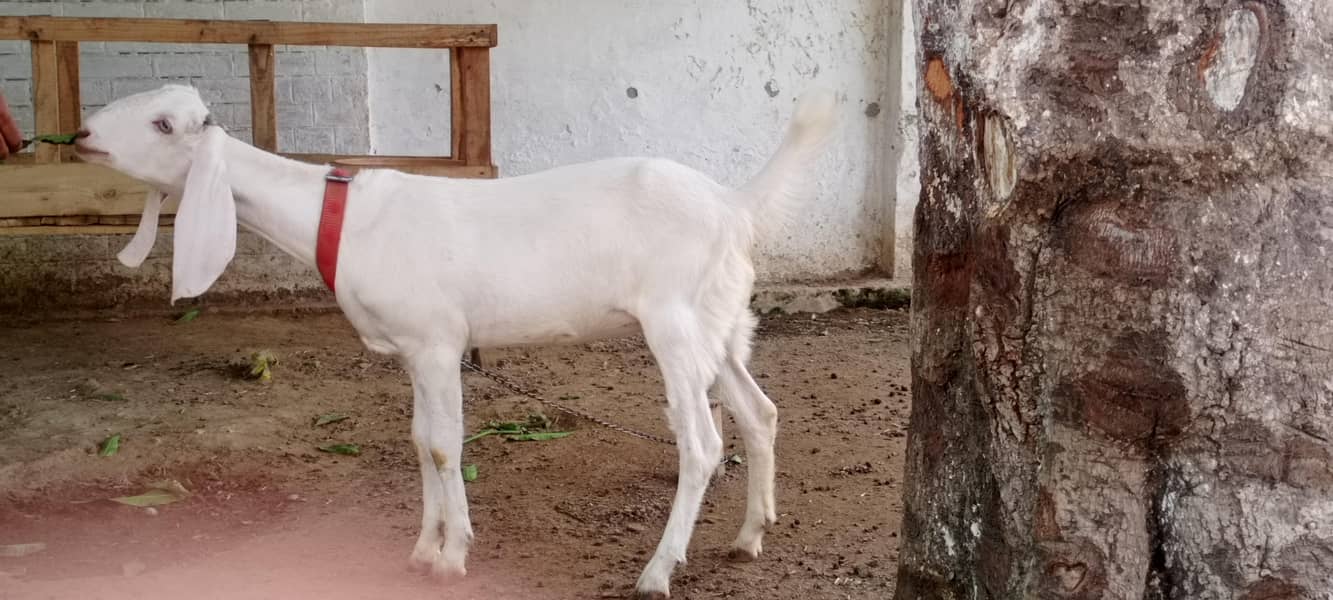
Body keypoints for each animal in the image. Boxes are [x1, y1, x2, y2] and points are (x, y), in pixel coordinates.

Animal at [76, 83, 837, 598]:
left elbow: (445, 445)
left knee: (701, 442)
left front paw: (451, 557)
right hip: (721, 321)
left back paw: (656, 571)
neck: (339, 218)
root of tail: (735, 205)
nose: (81, 135)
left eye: (162, 123)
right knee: (758, 412)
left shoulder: (440, 342)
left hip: (673, 321)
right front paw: (421, 549)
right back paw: (748, 537)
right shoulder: (415, 349)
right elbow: (419, 441)